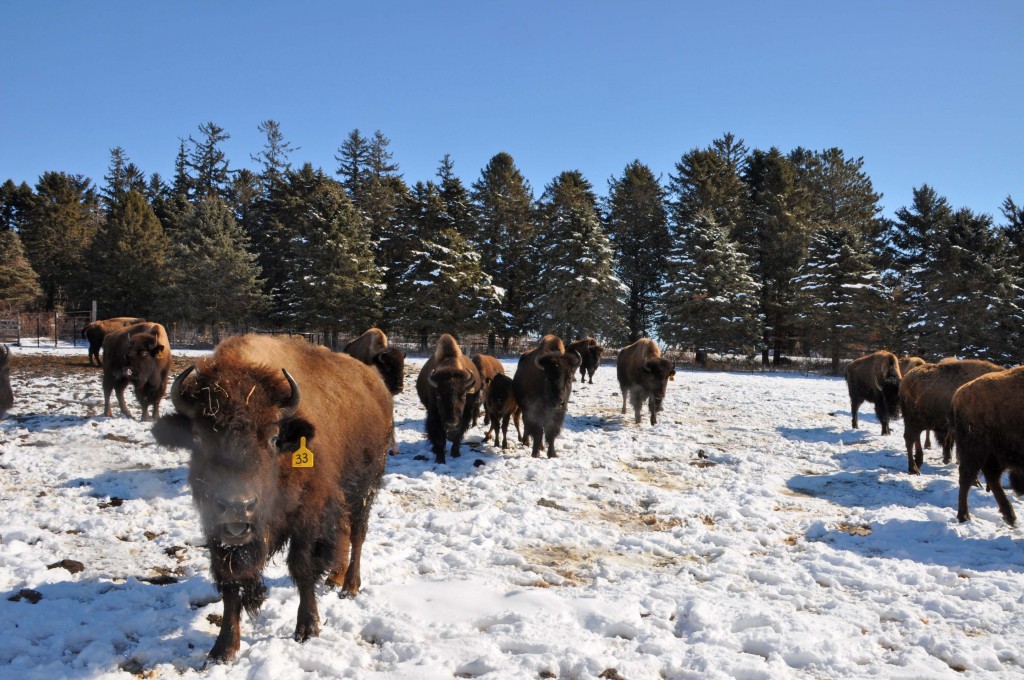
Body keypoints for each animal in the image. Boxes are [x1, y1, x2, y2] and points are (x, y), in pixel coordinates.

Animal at [150, 333, 391, 663]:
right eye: (197, 438)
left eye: (274, 438)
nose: (238, 506)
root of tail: (375, 384)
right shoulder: (216, 530)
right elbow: (229, 581)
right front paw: (223, 649)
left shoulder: (309, 517)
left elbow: (303, 568)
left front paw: (307, 629)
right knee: (343, 532)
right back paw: (335, 579)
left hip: (364, 489)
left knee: (357, 534)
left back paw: (350, 586)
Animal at [415, 333, 479, 464]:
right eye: (438, 396)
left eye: (464, 395)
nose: (451, 423)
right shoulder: (434, 414)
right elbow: (439, 436)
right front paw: (440, 459)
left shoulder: (466, 414)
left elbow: (458, 433)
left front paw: (455, 453)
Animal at [954, 366, 1024, 524]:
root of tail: (960, 392)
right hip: (976, 451)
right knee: (967, 477)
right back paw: (964, 516)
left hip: (994, 455)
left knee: (992, 478)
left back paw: (1009, 516)